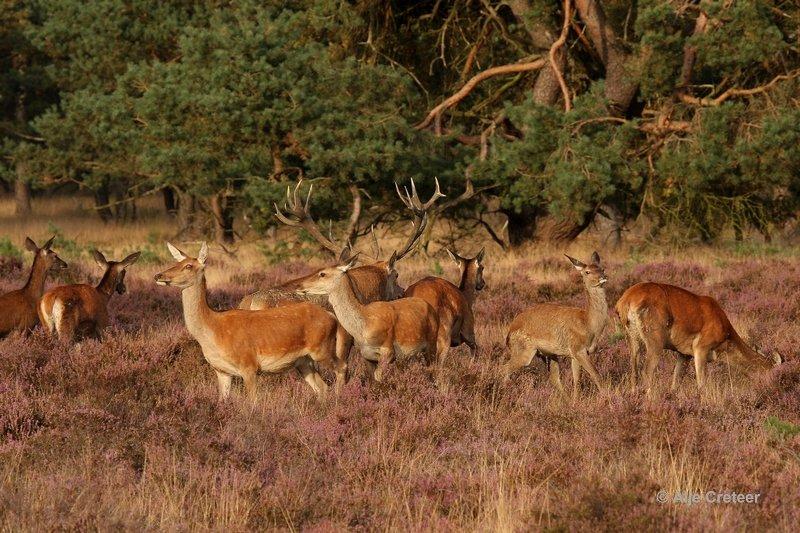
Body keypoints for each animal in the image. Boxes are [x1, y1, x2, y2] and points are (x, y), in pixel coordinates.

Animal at [156, 243, 354, 396]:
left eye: (189, 266)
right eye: (177, 262)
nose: (159, 275)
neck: (213, 329)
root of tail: (332, 317)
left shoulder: (249, 366)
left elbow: (251, 405)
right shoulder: (221, 372)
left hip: (321, 349)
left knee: (342, 367)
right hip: (304, 361)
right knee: (322, 388)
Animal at [296, 256, 440, 380]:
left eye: (323, 274)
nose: (298, 285)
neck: (363, 327)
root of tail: (431, 308)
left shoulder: (388, 351)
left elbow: (379, 377)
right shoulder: (367, 355)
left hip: (432, 343)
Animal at [504, 252, 608, 400]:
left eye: (602, 269)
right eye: (587, 272)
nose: (603, 277)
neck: (588, 324)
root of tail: (508, 334)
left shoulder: (575, 353)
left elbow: (577, 378)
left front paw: (576, 401)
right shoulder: (577, 348)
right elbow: (596, 375)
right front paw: (607, 398)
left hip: (550, 353)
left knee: (553, 378)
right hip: (523, 349)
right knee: (505, 368)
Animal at [612, 282, 780, 390]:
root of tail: (626, 300)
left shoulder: (684, 355)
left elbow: (675, 383)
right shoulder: (701, 350)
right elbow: (701, 384)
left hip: (633, 340)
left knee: (634, 372)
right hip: (655, 344)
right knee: (646, 373)